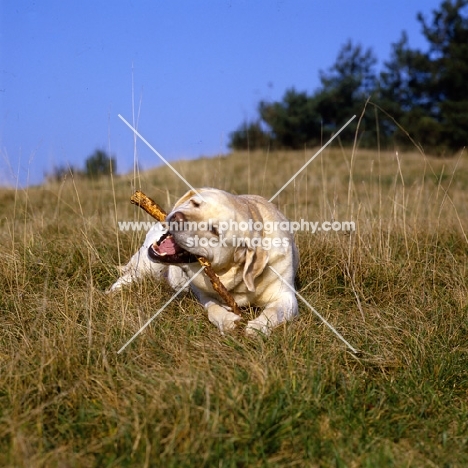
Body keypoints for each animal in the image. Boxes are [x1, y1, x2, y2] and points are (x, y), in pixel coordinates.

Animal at [110, 188, 296, 334]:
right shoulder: (202, 292)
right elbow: (213, 307)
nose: (177, 217)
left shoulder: (287, 297)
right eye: (194, 203)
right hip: (145, 267)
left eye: (214, 230)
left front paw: (257, 327)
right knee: (124, 279)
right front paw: (227, 319)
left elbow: (273, 312)